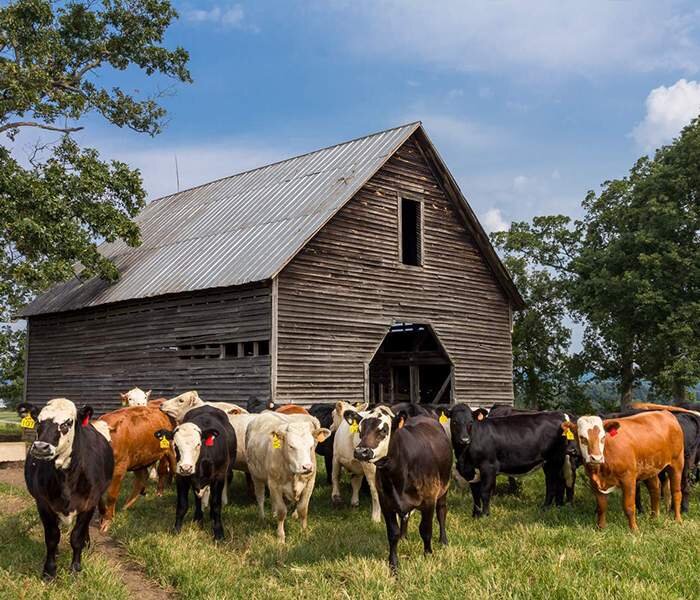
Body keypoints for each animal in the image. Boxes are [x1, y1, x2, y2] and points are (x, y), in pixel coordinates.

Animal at [18, 400, 113, 580]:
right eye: (38, 422)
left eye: (67, 423)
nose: (40, 447)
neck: (66, 478)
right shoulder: (43, 504)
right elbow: (52, 537)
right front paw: (49, 571)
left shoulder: (88, 503)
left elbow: (77, 537)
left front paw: (75, 568)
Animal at [155, 404, 237, 540]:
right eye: (175, 445)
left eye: (198, 444)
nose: (186, 467)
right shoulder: (181, 477)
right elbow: (182, 505)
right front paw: (176, 530)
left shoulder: (219, 476)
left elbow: (216, 505)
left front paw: (218, 533)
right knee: (198, 498)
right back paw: (198, 518)